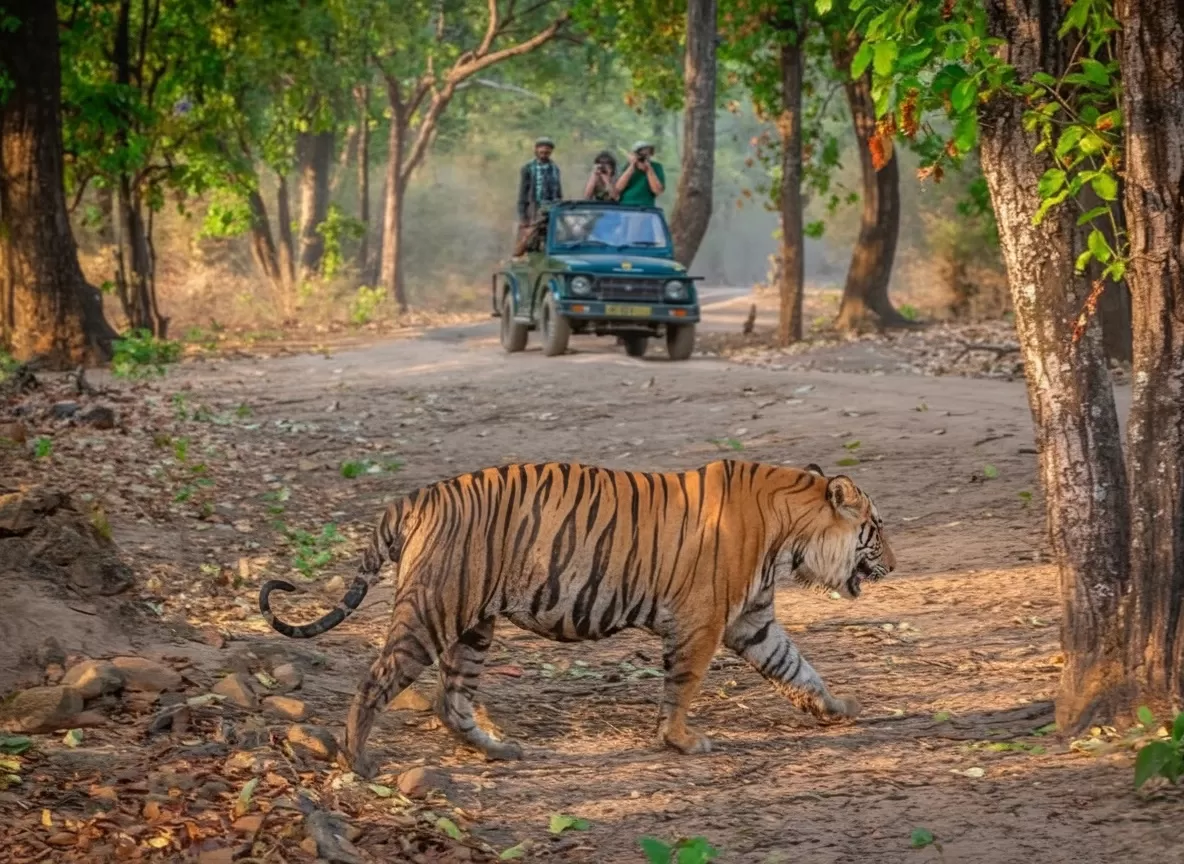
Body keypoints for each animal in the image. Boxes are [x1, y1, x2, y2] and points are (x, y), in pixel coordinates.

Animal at [258, 459, 896, 779]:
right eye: (878, 527)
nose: (895, 564)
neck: (791, 532)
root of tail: (415, 497)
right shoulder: (703, 621)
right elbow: (684, 685)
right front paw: (680, 741)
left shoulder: (752, 621)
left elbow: (797, 667)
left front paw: (839, 708)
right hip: (432, 611)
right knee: (374, 683)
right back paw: (358, 760)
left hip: (473, 626)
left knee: (450, 699)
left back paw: (498, 751)